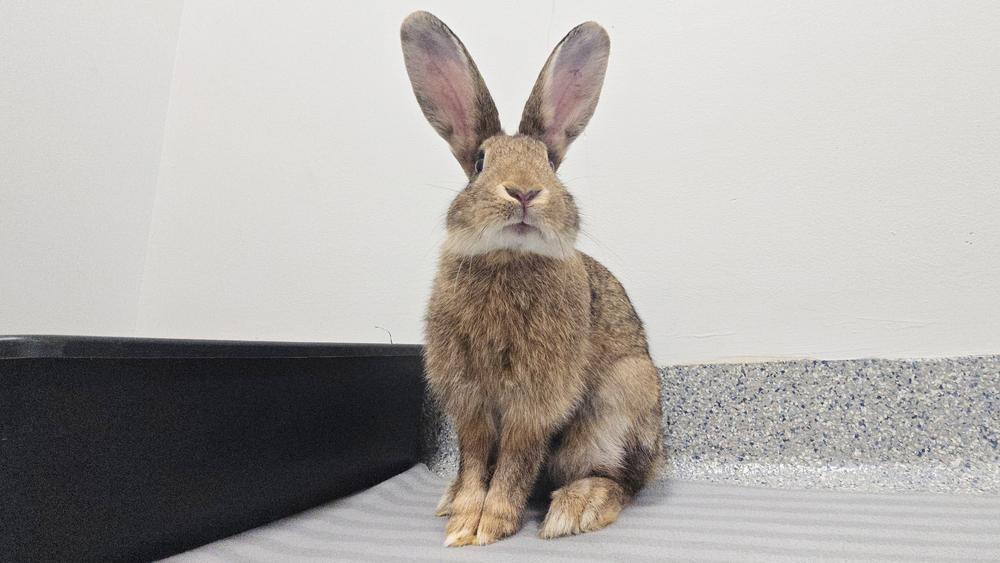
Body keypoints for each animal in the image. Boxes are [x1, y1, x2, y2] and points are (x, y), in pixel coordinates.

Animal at [401, 11, 663, 546]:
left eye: (549, 163)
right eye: (479, 162)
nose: (524, 191)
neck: (508, 259)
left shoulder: (536, 399)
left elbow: (516, 458)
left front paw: (488, 524)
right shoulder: (469, 400)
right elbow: (476, 456)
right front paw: (464, 518)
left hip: (621, 401)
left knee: (620, 482)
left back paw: (575, 508)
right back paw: (449, 499)